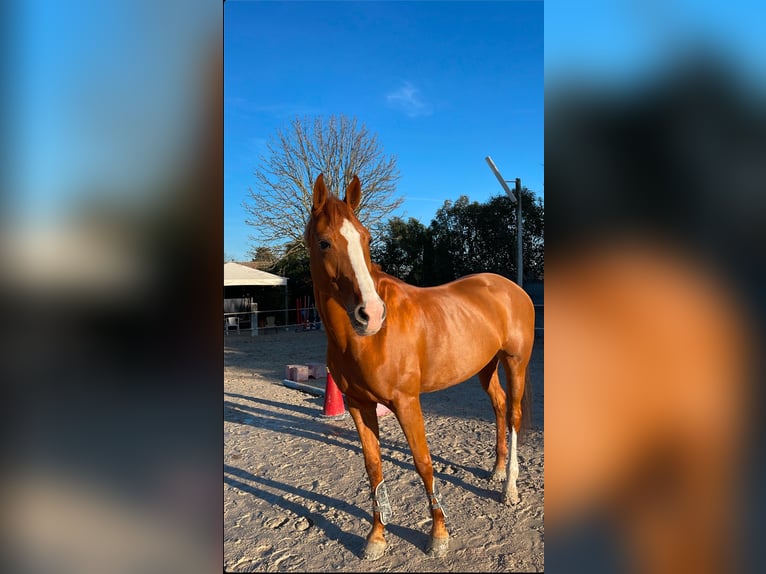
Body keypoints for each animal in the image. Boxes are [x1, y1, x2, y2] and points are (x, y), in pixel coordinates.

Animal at [304, 173, 536, 560]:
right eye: (324, 242)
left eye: (366, 238)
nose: (371, 314)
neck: (369, 340)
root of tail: (511, 288)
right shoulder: (358, 405)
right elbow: (373, 467)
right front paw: (376, 537)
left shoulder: (407, 403)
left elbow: (423, 463)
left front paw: (438, 535)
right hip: (485, 368)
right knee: (500, 406)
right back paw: (497, 470)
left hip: (515, 362)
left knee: (514, 415)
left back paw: (510, 489)